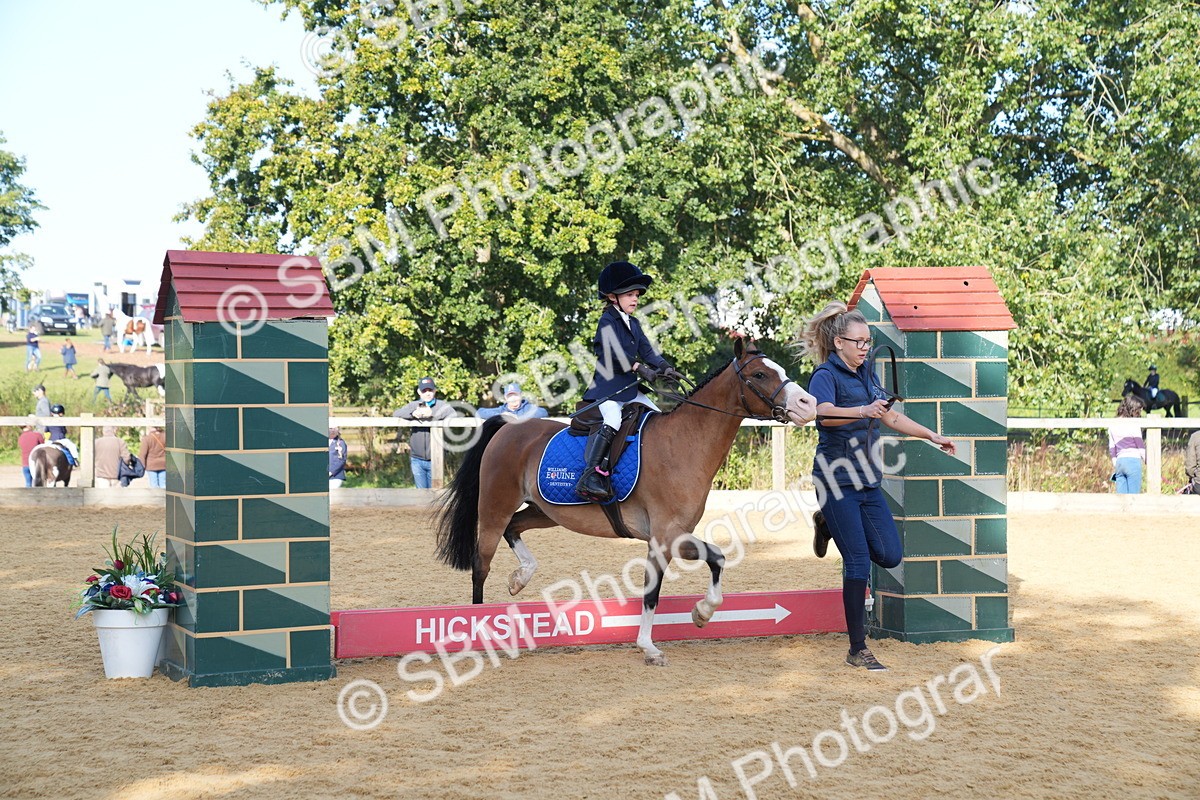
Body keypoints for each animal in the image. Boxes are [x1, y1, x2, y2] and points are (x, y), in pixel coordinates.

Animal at [434, 339, 817, 666]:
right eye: (760, 374)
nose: (808, 405)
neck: (686, 443)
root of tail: (508, 427)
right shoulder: (663, 537)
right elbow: (652, 593)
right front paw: (649, 647)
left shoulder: (677, 535)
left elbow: (717, 558)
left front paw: (702, 613)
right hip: (495, 508)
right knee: (481, 566)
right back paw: (478, 629)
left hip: (546, 512)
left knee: (515, 529)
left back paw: (520, 578)